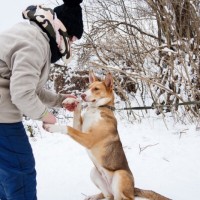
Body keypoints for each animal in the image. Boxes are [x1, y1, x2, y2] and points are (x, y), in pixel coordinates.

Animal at [43, 71, 170, 199]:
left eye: (96, 89)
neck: (97, 109)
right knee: (108, 195)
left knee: (123, 197)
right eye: (88, 87)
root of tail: (133, 189)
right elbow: (77, 111)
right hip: (94, 172)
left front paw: (51, 127)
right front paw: (70, 100)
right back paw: (93, 196)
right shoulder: (80, 128)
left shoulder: (89, 139)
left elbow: (68, 128)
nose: (83, 95)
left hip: (120, 175)